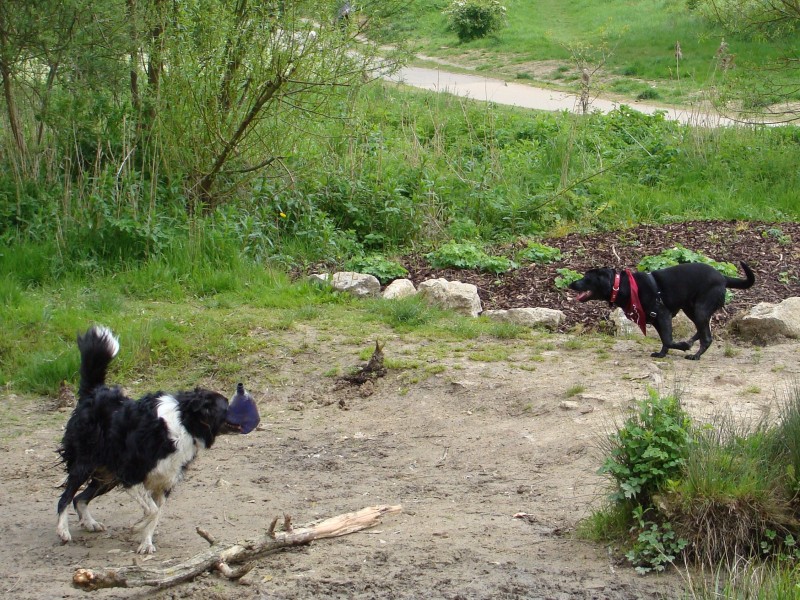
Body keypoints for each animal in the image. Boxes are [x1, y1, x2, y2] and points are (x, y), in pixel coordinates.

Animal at [57, 326, 258, 556]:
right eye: (226, 404)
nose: (244, 394)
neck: (184, 424)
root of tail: (95, 392)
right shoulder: (131, 475)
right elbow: (152, 511)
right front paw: (136, 527)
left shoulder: (164, 483)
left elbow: (156, 513)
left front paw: (145, 541)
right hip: (85, 464)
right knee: (65, 497)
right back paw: (63, 531)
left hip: (107, 475)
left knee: (79, 498)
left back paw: (90, 523)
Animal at [572, 260, 752, 358]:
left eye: (586, 278)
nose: (571, 283)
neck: (623, 286)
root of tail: (723, 277)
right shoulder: (656, 320)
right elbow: (665, 340)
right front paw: (662, 354)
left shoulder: (663, 315)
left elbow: (668, 339)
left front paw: (682, 346)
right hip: (691, 309)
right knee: (702, 331)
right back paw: (691, 343)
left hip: (700, 309)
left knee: (707, 337)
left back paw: (695, 355)